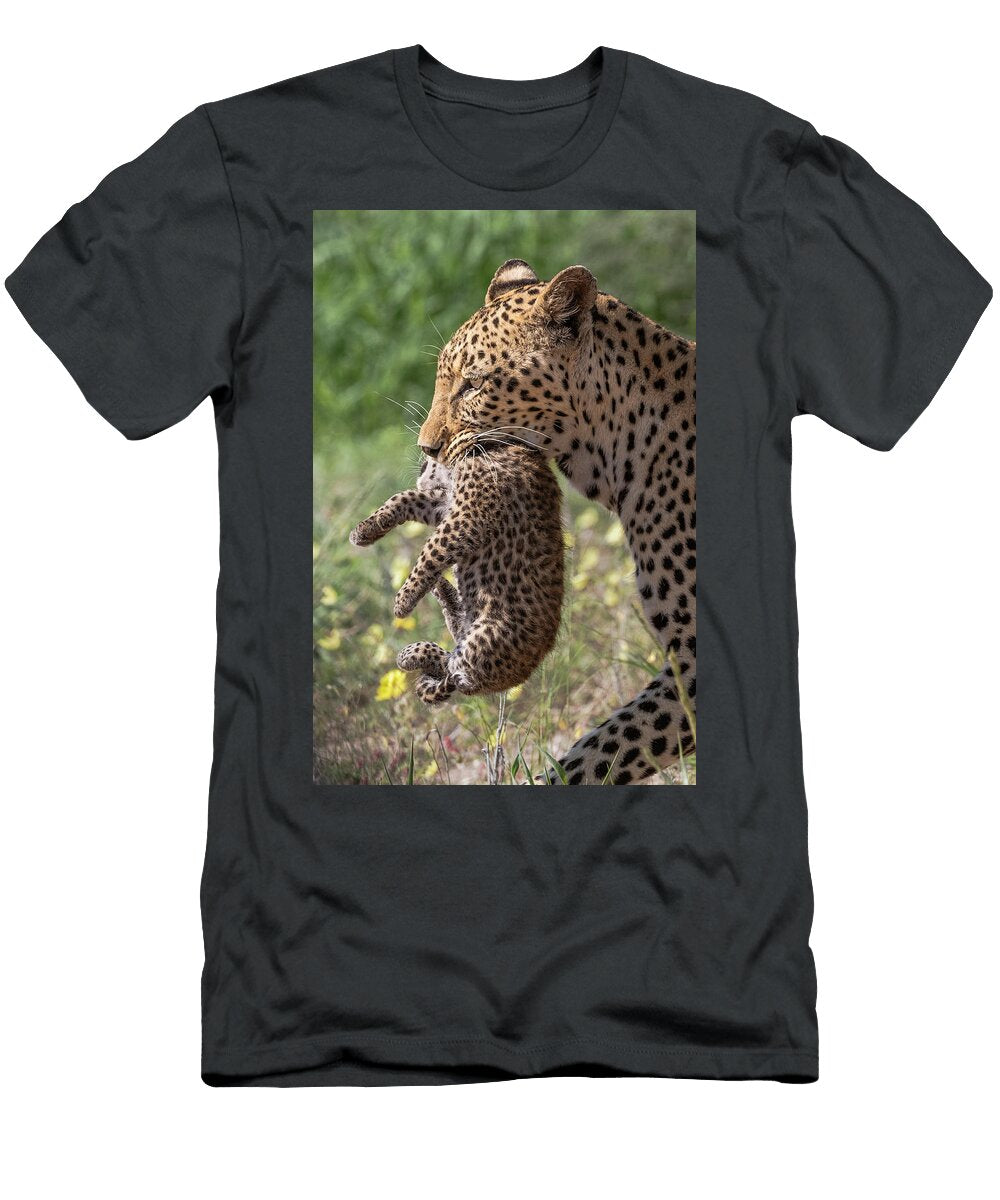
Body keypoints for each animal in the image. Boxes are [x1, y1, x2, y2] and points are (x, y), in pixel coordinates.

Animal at [350, 445, 565, 704]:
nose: (422, 466)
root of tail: (518, 677)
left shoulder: (467, 519)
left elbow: (432, 549)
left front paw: (403, 601)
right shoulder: (446, 504)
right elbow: (404, 497)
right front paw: (364, 531)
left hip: (487, 638)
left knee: (454, 670)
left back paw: (410, 654)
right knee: (454, 642)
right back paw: (442, 590)